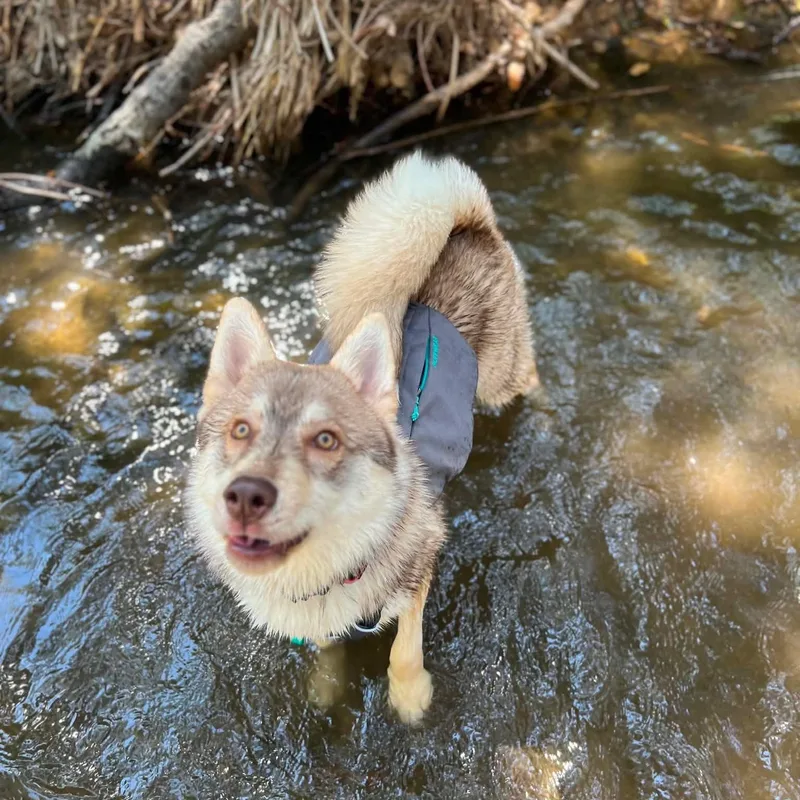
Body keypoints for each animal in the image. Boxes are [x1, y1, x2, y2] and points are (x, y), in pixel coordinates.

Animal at [185, 152, 538, 723]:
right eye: (241, 430)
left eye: (326, 440)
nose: (245, 495)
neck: (328, 572)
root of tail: (467, 223)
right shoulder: (322, 619)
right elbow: (329, 651)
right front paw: (327, 689)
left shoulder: (422, 563)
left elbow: (403, 649)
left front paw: (410, 696)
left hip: (502, 379)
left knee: (530, 376)